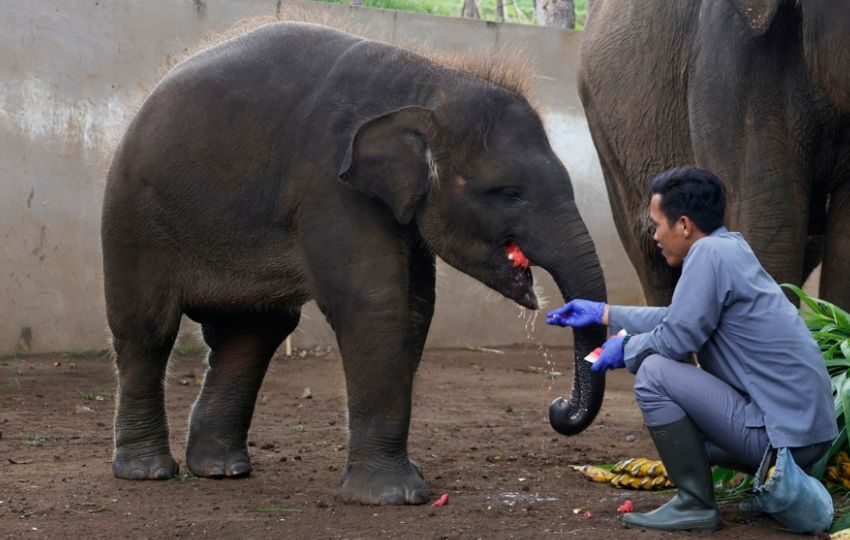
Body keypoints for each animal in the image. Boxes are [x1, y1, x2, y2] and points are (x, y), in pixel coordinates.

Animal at [101, 22, 607, 505]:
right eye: (510, 193)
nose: (557, 408)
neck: (430, 81)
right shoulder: (329, 186)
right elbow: (375, 305)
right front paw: (393, 497)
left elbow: (416, 308)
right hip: (132, 220)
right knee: (148, 329)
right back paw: (149, 472)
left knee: (253, 334)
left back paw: (222, 469)